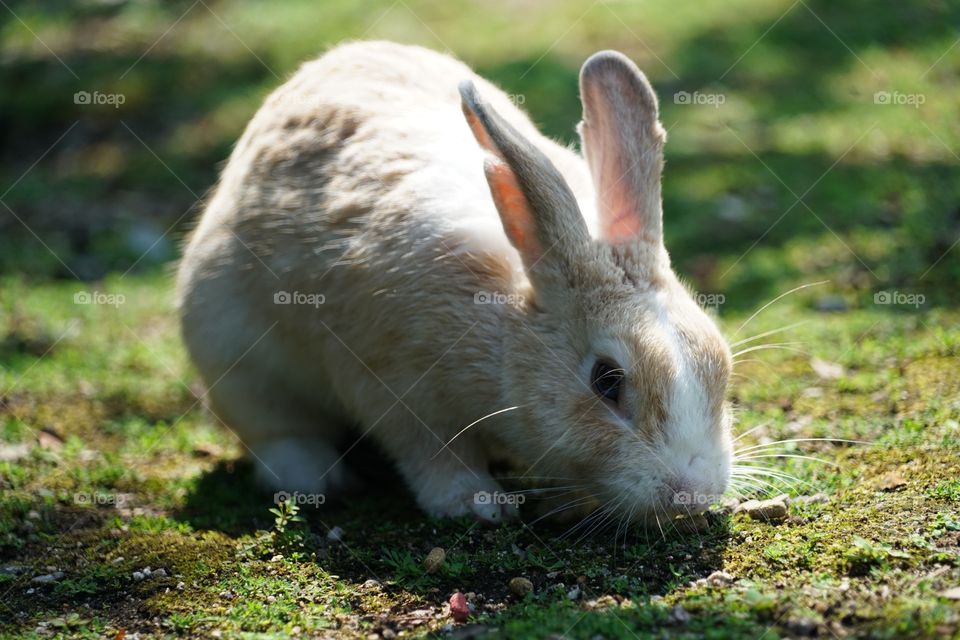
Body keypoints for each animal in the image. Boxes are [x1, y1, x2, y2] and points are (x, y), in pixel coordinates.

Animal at [176, 41, 733, 525]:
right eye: (607, 381)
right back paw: (320, 479)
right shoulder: (394, 387)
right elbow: (432, 455)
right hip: (233, 356)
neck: (505, 321)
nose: (692, 494)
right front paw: (477, 505)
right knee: (277, 432)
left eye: (720, 364)